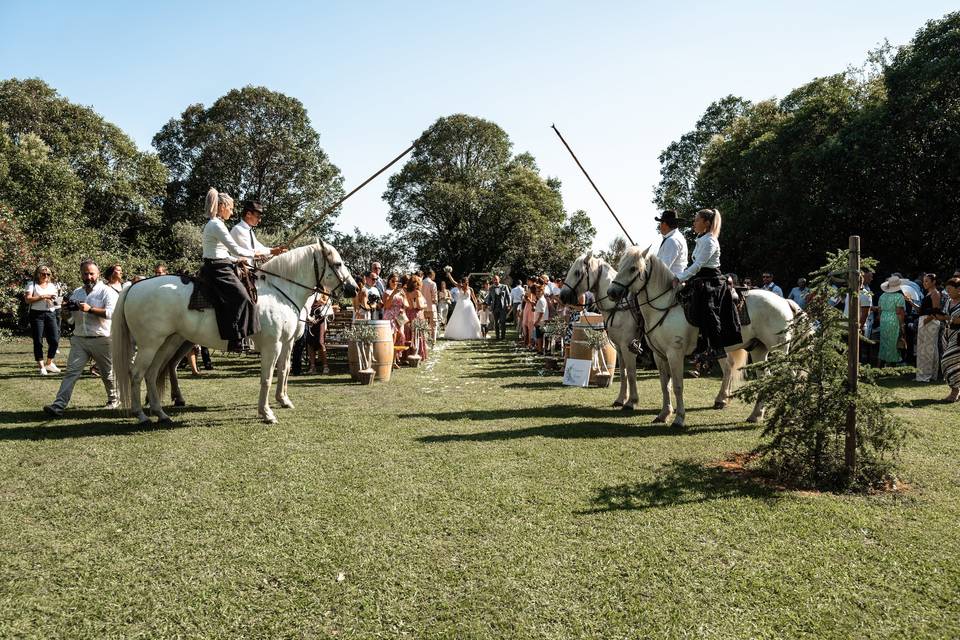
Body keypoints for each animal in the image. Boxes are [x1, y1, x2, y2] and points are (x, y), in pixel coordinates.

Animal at [109, 240, 356, 424]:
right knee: (136, 374)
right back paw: (141, 415)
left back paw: (161, 413)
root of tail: (133, 286)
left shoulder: (286, 343)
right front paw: (266, 413)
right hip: (150, 345)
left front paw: (283, 400)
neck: (279, 292)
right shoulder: (272, 344)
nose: (353, 288)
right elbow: (267, 377)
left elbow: (284, 370)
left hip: (167, 342)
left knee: (152, 373)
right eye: (338, 263)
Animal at [560, 251, 640, 408]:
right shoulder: (619, 347)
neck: (619, 306)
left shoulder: (628, 347)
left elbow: (631, 373)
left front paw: (631, 402)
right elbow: (623, 373)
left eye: (577, 272)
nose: (562, 296)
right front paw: (621, 399)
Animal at [608, 248, 804, 428]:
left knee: (791, 375)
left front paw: (679, 419)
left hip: (779, 350)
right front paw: (663, 414)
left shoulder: (674, 353)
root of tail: (784, 301)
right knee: (763, 378)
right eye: (621, 266)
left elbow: (677, 385)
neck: (664, 307)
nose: (612, 292)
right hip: (758, 350)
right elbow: (665, 384)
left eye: (633, 268)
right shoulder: (659, 355)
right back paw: (755, 415)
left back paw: (791, 417)